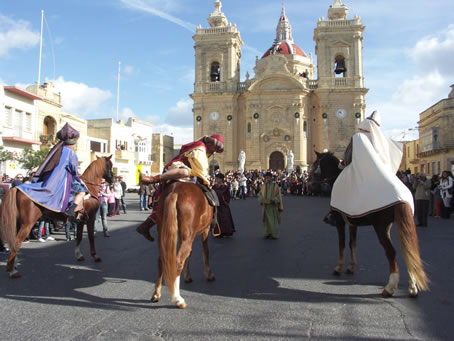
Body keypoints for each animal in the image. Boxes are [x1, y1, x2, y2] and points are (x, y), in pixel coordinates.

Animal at [312, 151, 430, 298]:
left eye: (315, 164)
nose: (312, 184)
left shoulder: (340, 222)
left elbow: (342, 244)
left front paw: (338, 267)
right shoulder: (352, 223)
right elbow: (352, 244)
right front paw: (351, 267)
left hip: (381, 227)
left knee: (391, 252)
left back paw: (390, 287)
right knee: (408, 250)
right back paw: (412, 287)